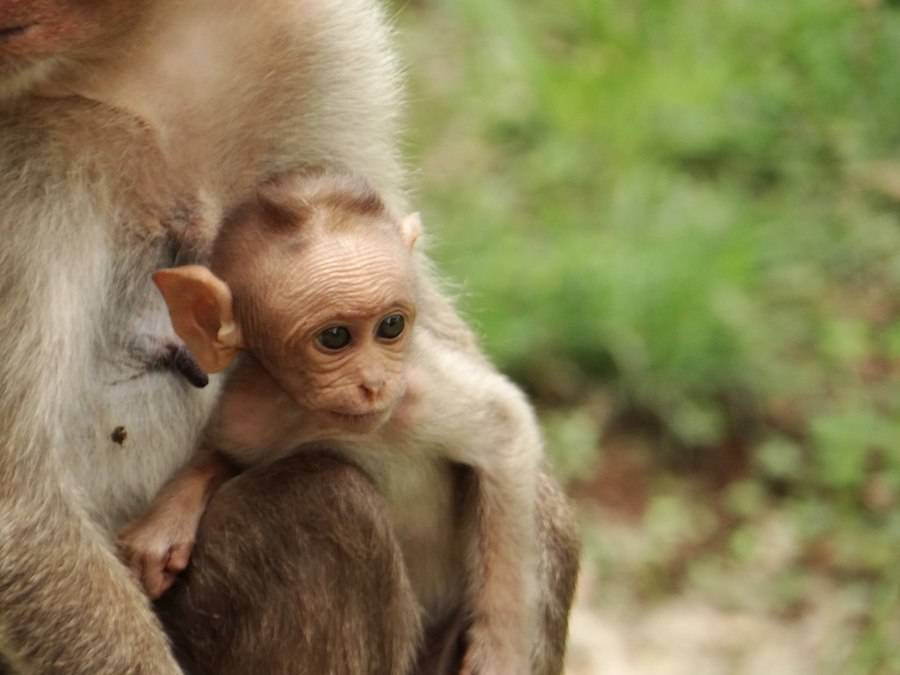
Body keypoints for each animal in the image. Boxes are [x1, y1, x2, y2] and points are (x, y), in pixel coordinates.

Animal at [118, 172, 540, 672]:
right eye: (335, 337)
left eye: (391, 326)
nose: (374, 384)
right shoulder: (251, 410)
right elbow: (224, 452)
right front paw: (171, 515)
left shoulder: (422, 391)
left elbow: (507, 433)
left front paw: (501, 650)